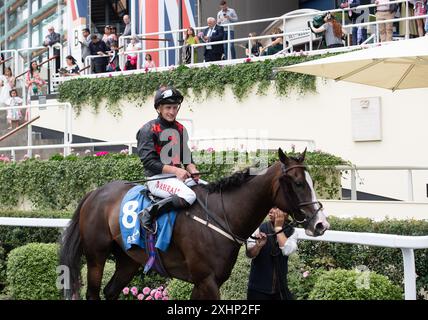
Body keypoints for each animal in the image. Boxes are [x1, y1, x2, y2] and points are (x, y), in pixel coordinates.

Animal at [59, 149, 328, 298]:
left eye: (311, 181)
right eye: (298, 183)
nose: (321, 224)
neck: (223, 215)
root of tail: (95, 192)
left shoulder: (206, 282)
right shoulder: (207, 281)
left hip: (128, 259)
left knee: (111, 291)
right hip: (96, 256)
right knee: (93, 293)